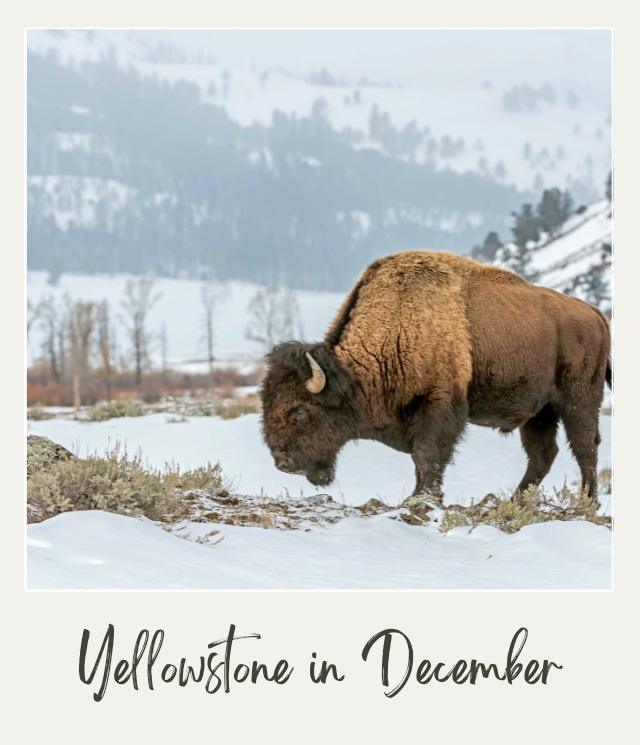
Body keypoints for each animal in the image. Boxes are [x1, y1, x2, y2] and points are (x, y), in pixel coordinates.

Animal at [260, 250, 611, 506]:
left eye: (301, 411)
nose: (282, 463)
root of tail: (595, 314)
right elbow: (422, 459)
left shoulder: (439, 404)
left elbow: (427, 455)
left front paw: (422, 499)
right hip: (539, 412)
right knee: (543, 454)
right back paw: (514, 501)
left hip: (579, 400)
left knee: (585, 447)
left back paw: (586, 503)